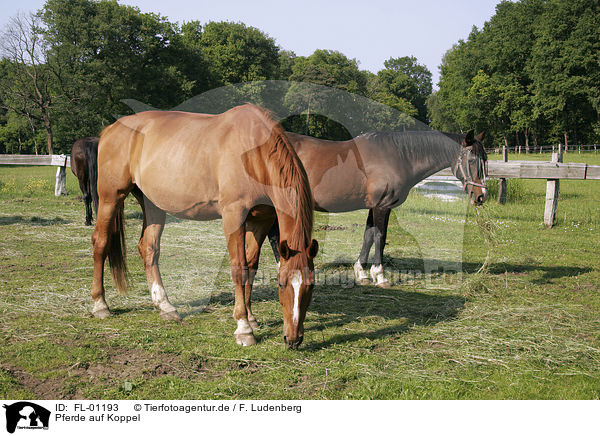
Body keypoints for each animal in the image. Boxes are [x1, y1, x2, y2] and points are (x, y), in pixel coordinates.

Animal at [91, 104, 316, 350]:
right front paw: (243, 327)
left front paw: (251, 317)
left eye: (311, 286)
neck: (254, 152)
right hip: (111, 197)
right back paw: (100, 304)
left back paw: (164, 306)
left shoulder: (261, 221)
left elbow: (251, 265)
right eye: (281, 284)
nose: (293, 339)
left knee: (149, 248)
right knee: (101, 243)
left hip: (152, 204)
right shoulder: (233, 215)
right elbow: (239, 267)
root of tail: (110, 129)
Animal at [268, 127, 488, 288]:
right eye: (471, 160)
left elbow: (368, 235)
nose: (481, 196)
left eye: (485, 160)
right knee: (273, 236)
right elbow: (380, 237)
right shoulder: (382, 206)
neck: (398, 157)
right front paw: (380, 276)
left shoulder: (373, 207)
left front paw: (362, 273)